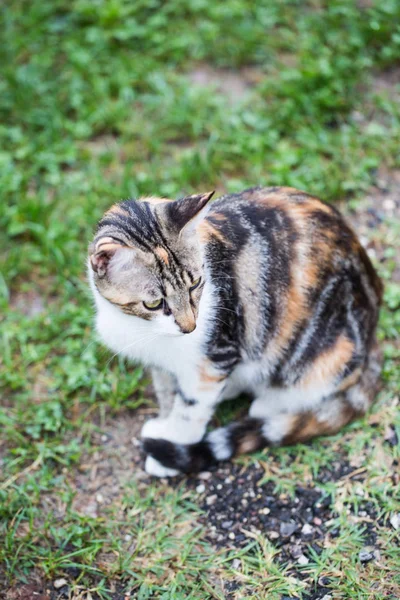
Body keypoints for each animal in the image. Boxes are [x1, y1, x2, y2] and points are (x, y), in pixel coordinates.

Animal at [89, 188, 382, 478]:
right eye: (153, 303)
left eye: (195, 284)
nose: (190, 327)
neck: (138, 326)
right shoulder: (160, 364)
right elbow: (166, 392)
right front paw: (166, 419)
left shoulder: (217, 353)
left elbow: (191, 407)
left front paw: (171, 445)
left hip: (329, 350)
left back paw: (267, 405)